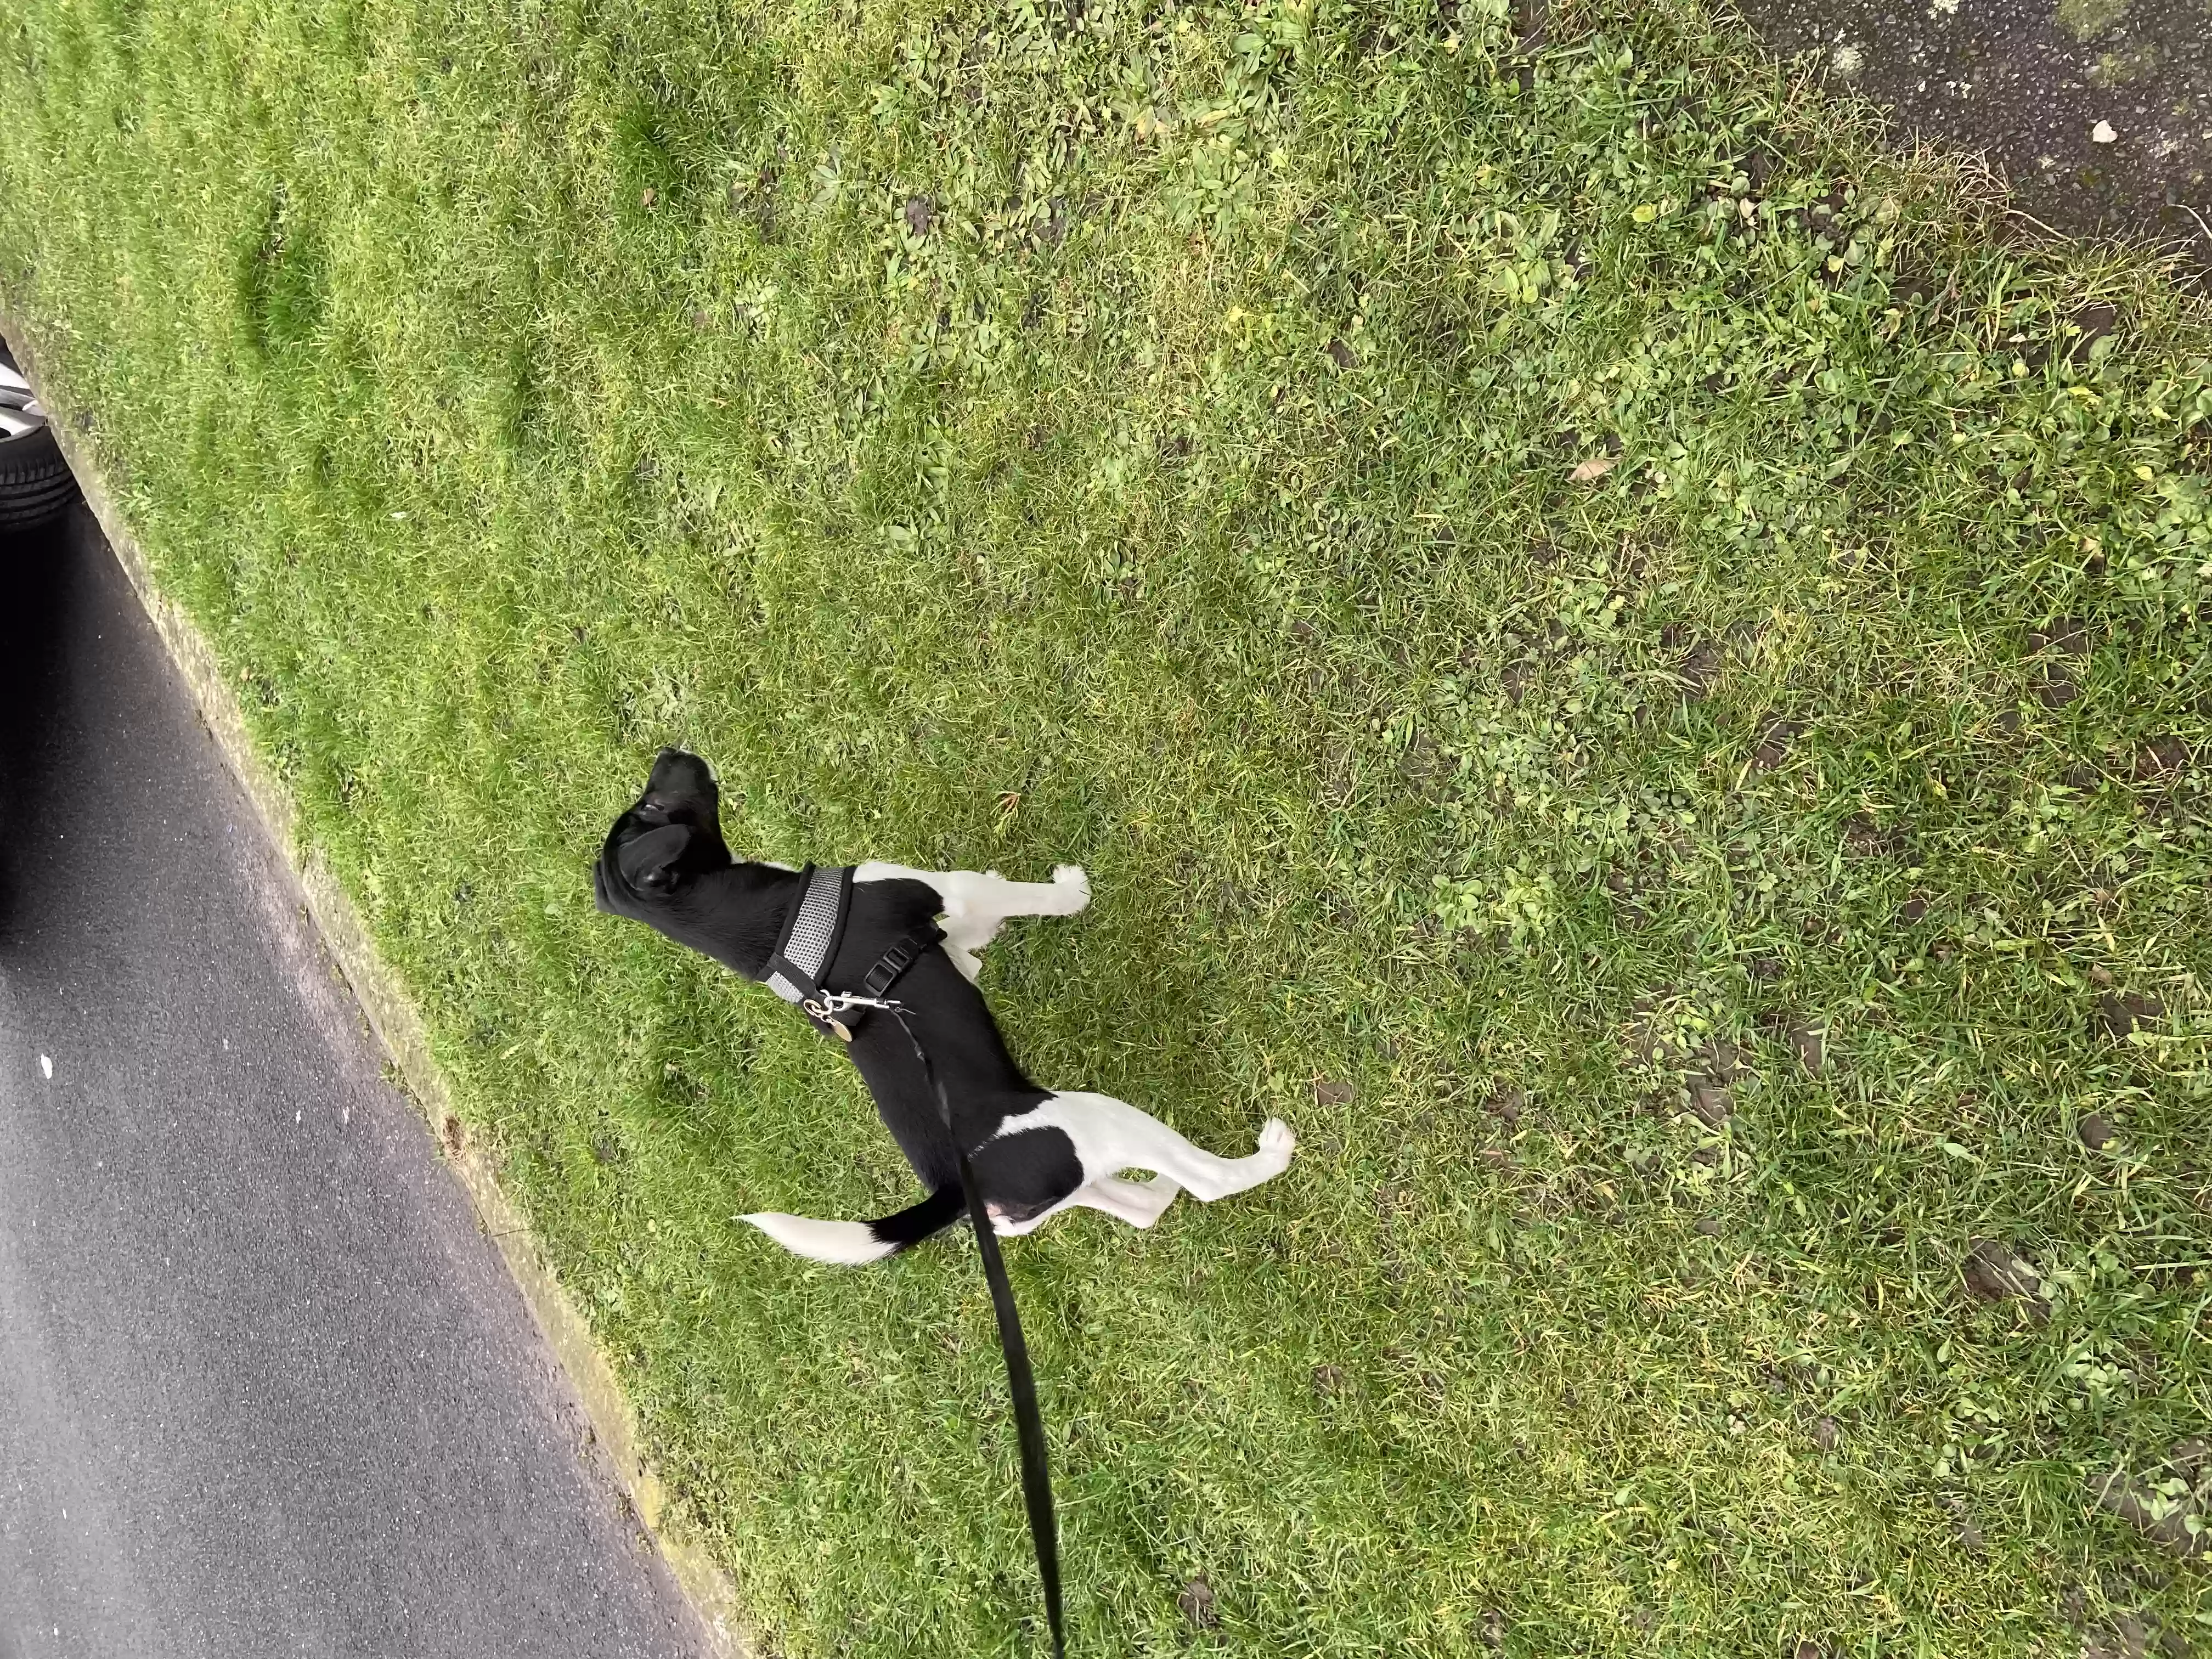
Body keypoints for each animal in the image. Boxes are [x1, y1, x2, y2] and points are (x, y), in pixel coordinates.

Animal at [597, 756, 1300, 1274]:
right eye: (651, 810)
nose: (670, 753)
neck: (774, 926)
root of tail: (954, 1191)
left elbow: (968, 945)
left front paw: (975, 955)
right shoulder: (955, 888)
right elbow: (1025, 898)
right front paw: (1072, 891)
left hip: (1065, 1182)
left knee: (1140, 1208)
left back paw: (1161, 1192)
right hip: (1093, 1120)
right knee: (1206, 1179)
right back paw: (1267, 1155)